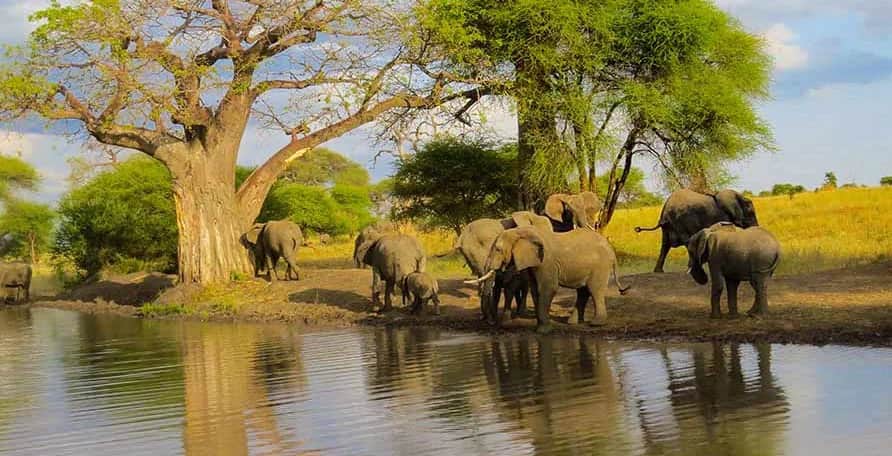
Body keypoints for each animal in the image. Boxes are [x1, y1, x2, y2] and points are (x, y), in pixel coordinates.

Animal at [468, 225, 629, 333]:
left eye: (498, 249)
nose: (490, 323)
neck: (521, 231)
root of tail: (610, 248)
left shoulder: (546, 262)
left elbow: (548, 288)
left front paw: (543, 331)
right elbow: (535, 290)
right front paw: (541, 327)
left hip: (600, 266)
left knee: (594, 290)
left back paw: (596, 324)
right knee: (583, 291)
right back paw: (572, 323)